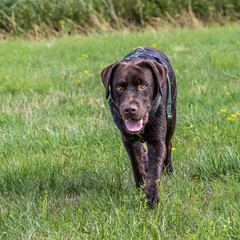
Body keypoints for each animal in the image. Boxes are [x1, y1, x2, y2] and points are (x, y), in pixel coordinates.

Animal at [100, 47, 177, 206]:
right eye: (119, 87)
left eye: (143, 86)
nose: (130, 109)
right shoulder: (128, 140)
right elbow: (137, 165)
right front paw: (140, 189)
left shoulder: (157, 140)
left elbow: (155, 170)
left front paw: (151, 195)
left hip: (171, 117)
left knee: (168, 145)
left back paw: (169, 170)